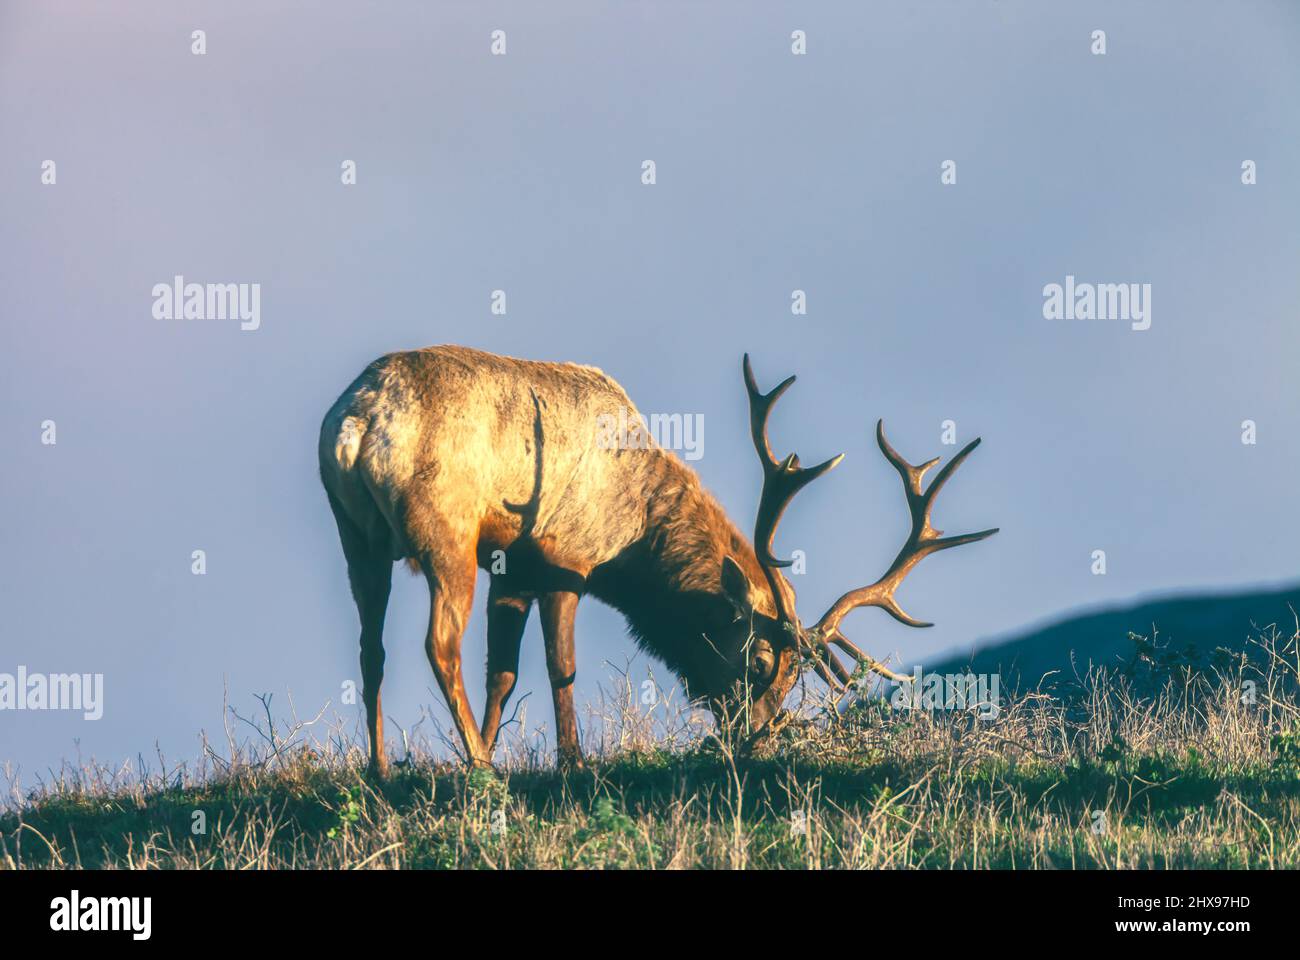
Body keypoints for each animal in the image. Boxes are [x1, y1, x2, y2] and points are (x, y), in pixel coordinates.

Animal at [317, 343, 993, 770]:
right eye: (760, 662)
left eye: (794, 677)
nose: (755, 738)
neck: (635, 539)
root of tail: (356, 421)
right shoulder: (565, 558)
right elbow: (560, 667)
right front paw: (569, 762)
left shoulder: (513, 568)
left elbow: (502, 675)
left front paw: (485, 750)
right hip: (446, 534)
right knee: (438, 644)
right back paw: (480, 769)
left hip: (356, 538)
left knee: (371, 647)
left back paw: (383, 770)